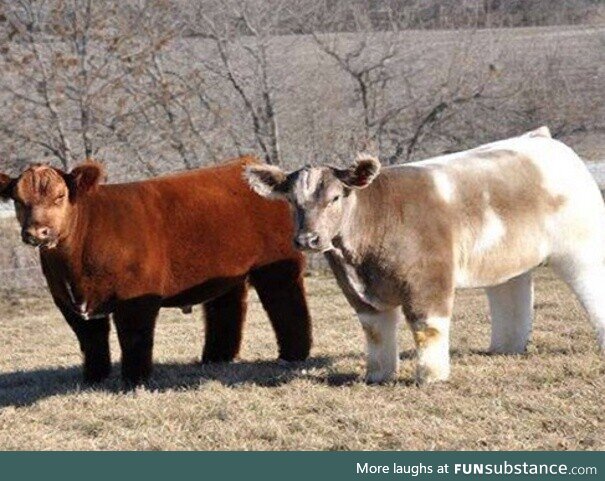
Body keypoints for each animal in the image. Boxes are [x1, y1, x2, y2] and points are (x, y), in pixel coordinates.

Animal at [0, 156, 312, 384]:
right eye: (18, 200)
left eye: (60, 196)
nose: (37, 232)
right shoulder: (68, 302)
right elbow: (91, 341)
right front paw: (94, 379)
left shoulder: (136, 297)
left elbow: (134, 336)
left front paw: (134, 380)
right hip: (226, 271)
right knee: (227, 307)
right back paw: (216, 357)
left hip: (277, 264)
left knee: (286, 304)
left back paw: (293, 354)